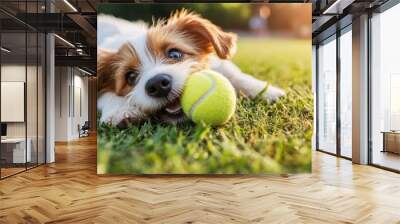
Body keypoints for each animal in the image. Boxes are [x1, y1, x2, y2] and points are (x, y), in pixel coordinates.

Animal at [97, 10, 284, 126]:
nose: (158, 84)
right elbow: (106, 95)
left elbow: (232, 73)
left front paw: (264, 90)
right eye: (131, 77)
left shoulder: (218, 63)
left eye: (174, 54)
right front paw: (120, 111)